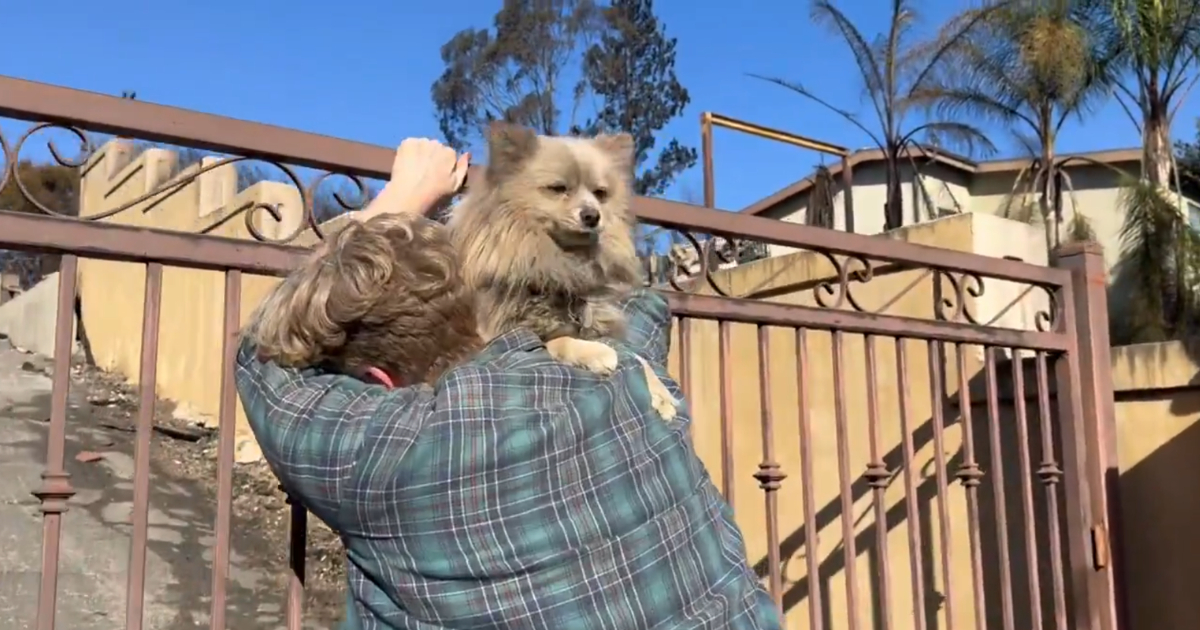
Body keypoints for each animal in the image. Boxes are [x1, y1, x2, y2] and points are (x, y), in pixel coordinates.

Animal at [448, 122, 676, 417]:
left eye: (600, 194)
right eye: (558, 189)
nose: (592, 215)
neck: (562, 262)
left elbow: (636, 356)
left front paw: (661, 393)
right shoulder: (502, 334)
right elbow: (555, 342)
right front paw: (595, 353)